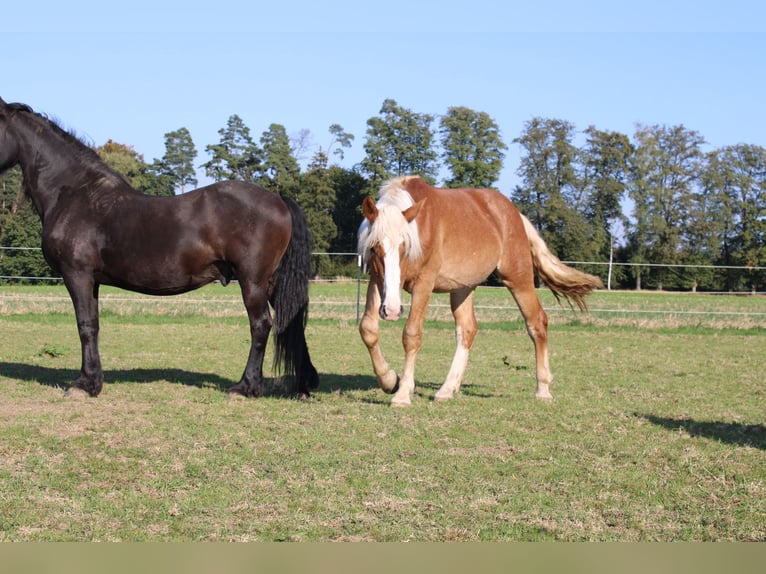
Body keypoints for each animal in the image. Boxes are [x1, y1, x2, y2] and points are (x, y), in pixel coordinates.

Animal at [0, 98, 318, 400]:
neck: (75, 193)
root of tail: (278, 199)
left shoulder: (77, 275)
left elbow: (85, 325)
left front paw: (84, 385)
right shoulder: (91, 281)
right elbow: (94, 324)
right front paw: (93, 381)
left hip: (253, 281)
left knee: (261, 325)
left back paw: (245, 387)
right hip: (272, 282)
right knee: (291, 323)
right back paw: (303, 386)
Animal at [360, 178, 608, 408]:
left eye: (405, 248)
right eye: (374, 248)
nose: (392, 311)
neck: (421, 227)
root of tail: (514, 213)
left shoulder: (424, 283)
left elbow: (411, 335)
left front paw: (402, 394)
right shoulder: (377, 280)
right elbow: (368, 329)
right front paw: (390, 380)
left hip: (518, 278)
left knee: (536, 321)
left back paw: (543, 390)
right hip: (462, 288)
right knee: (467, 329)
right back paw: (447, 389)